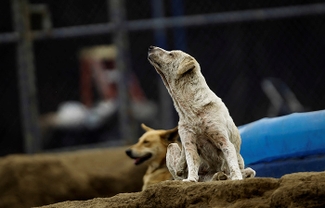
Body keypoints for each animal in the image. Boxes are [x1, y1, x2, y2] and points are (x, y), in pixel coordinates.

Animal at [147, 46, 256, 182]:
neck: (191, 110)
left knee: (245, 171)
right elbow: (192, 164)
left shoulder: (224, 141)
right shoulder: (189, 145)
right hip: (172, 146)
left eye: (171, 54)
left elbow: (232, 163)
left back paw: (223, 176)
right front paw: (191, 179)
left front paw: (236, 177)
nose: (150, 47)